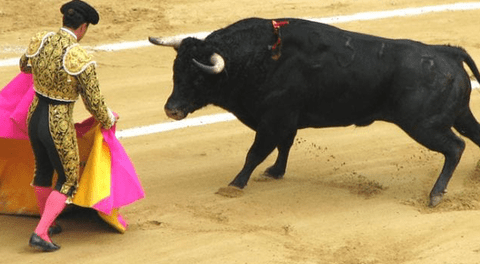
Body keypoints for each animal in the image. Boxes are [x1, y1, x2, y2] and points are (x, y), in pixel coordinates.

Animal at [150, 17, 480, 206]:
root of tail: (447, 51)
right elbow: (283, 146)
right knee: (474, 136)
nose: (171, 109)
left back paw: (435, 195)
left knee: (455, 147)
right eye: (175, 72)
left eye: (198, 78)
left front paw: (234, 186)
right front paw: (276, 172)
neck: (259, 57)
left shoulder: (274, 119)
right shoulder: (285, 121)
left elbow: (255, 153)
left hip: (424, 125)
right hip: (459, 115)